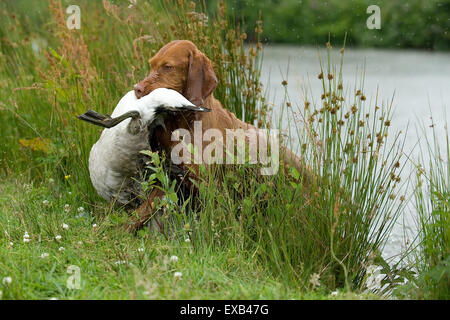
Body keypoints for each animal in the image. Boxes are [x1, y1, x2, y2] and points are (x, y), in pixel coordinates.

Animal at [125, 40, 312, 231]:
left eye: (168, 67)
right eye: (151, 65)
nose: (137, 89)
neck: (186, 123)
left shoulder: (208, 186)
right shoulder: (170, 179)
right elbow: (140, 213)